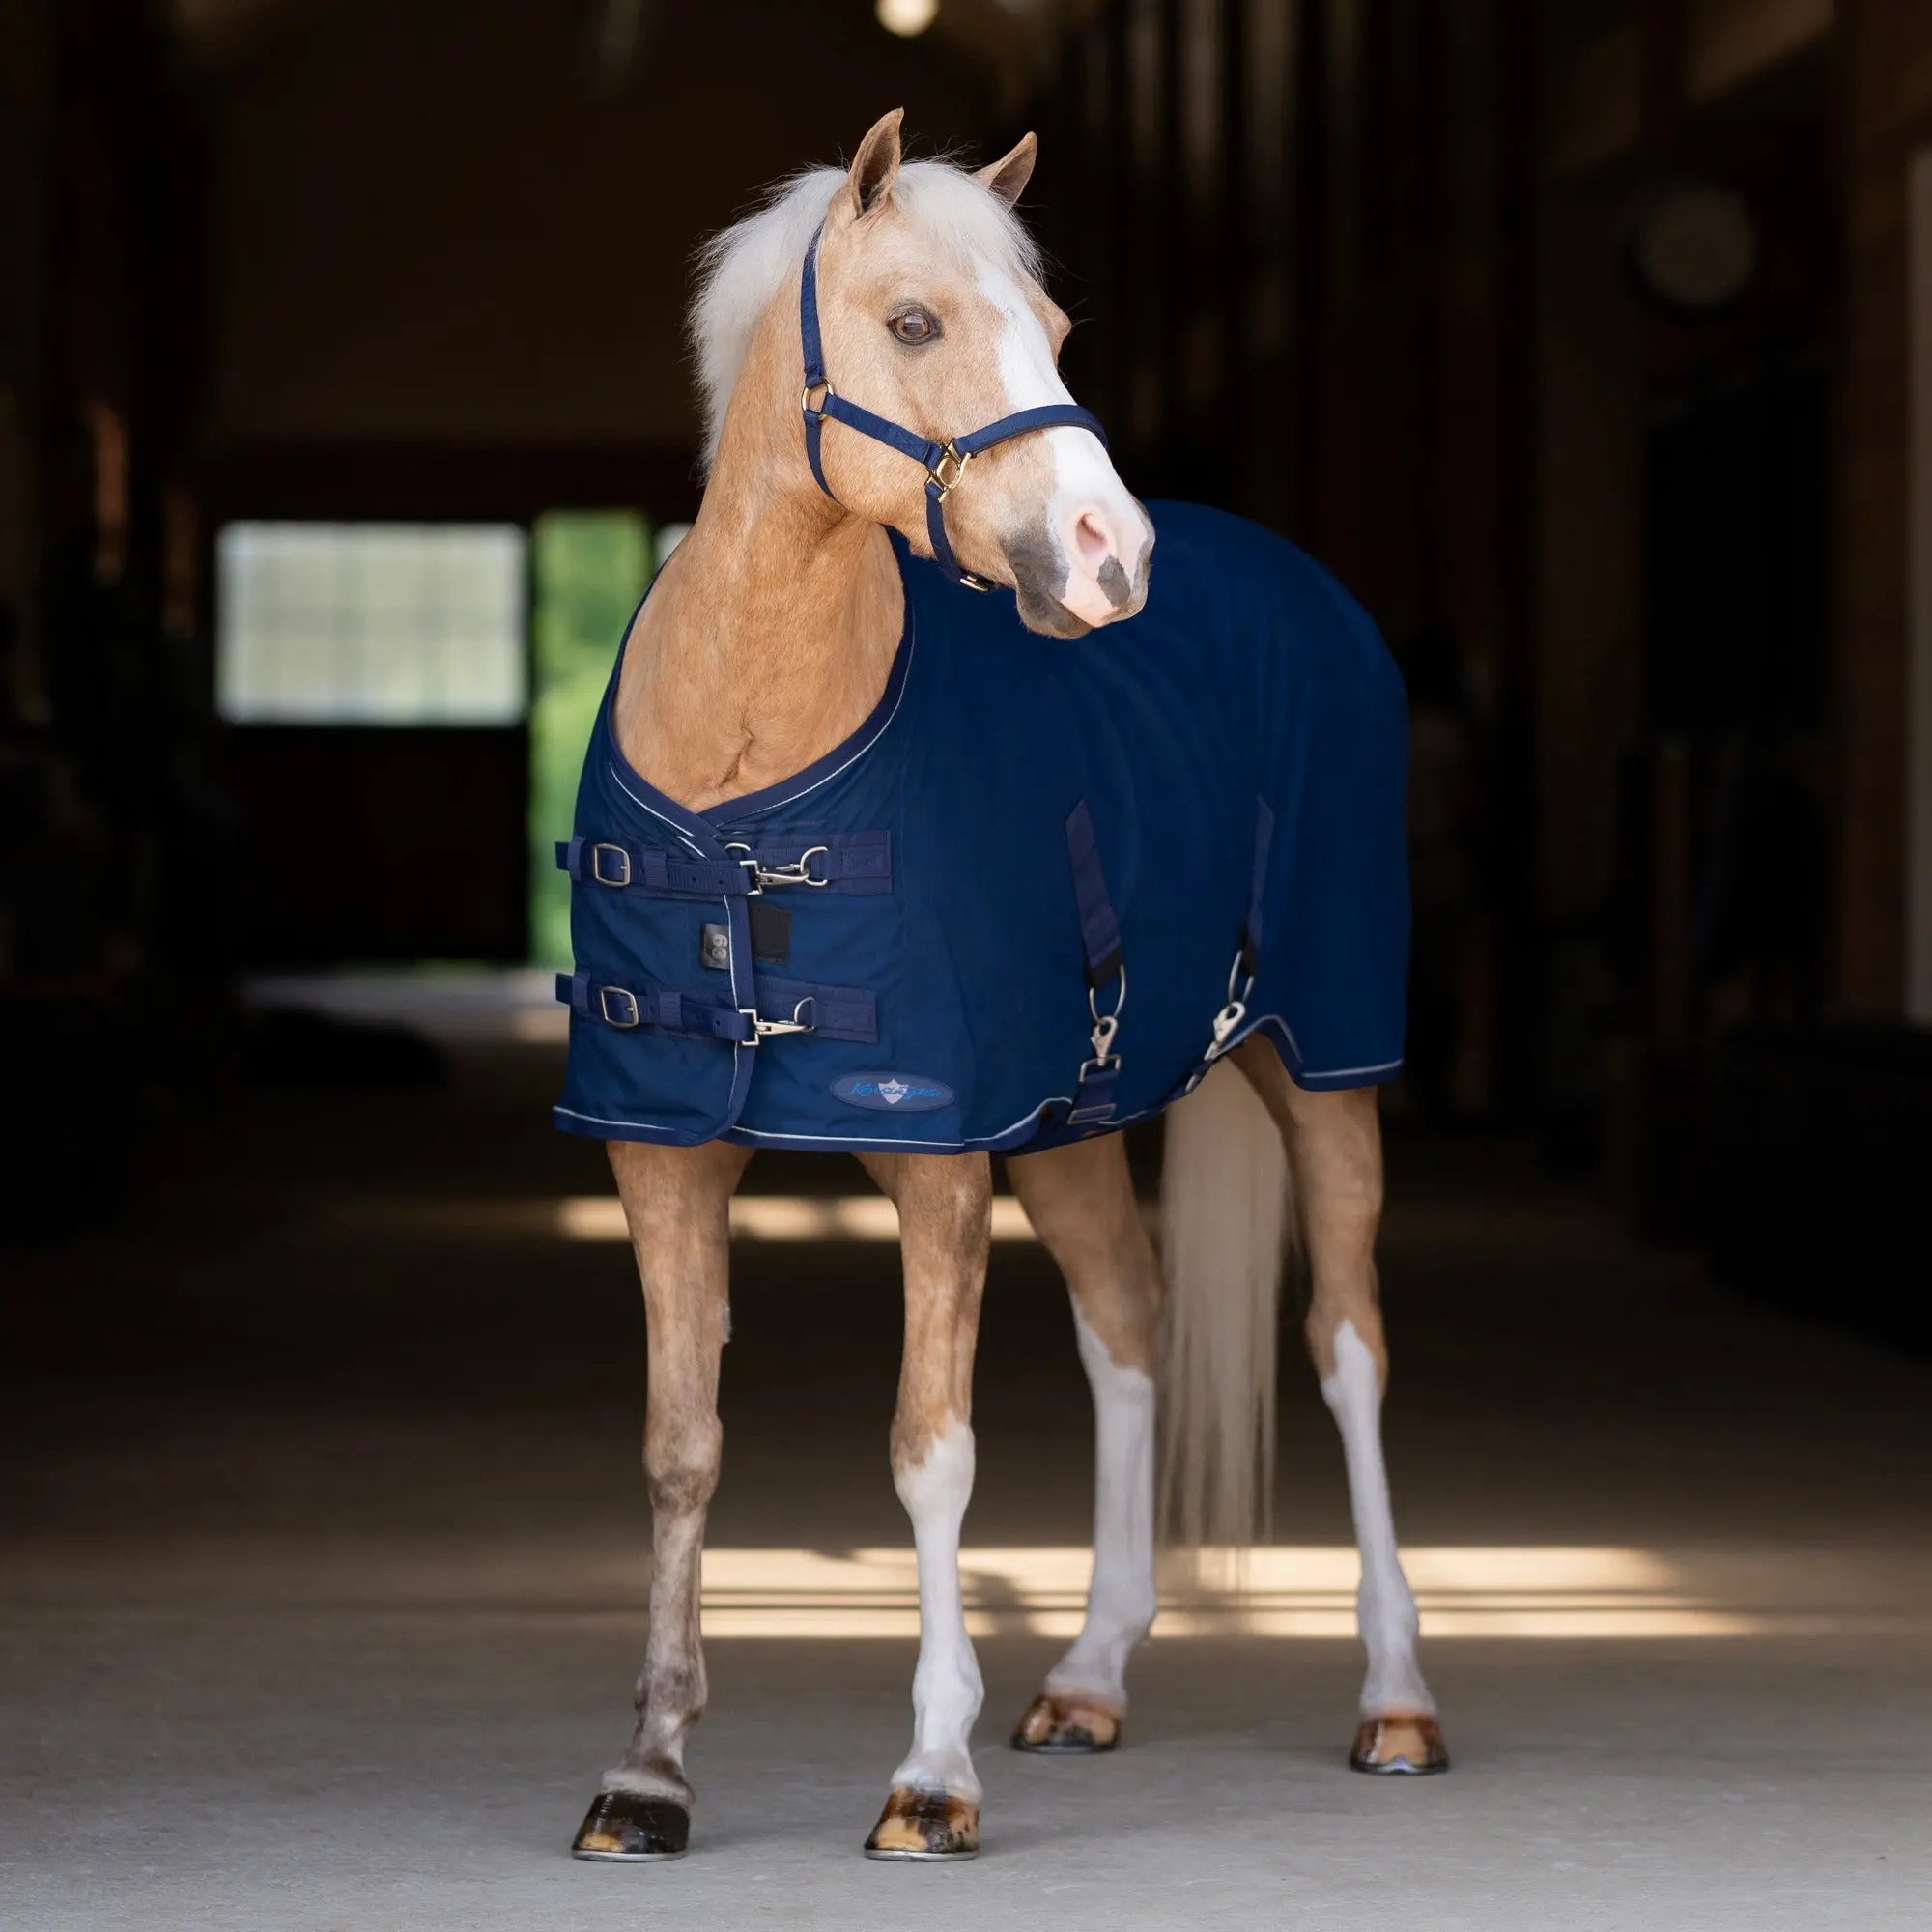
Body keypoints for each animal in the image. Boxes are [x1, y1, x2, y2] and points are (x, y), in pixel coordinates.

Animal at [555, 109, 1444, 1864]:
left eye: (1060, 328)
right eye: (912, 322)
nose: (1112, 557)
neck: (749, 772)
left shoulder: (936, 1158)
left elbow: (931, 1455)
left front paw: (930, 1776)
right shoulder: (662, 1153)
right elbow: (681, 1449)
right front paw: (650, 1771)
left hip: (1323, 1064)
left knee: (1348, 1345)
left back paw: (1395, 1701)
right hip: (1077, 1121)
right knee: (1130, 1326)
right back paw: (1089, 1678)